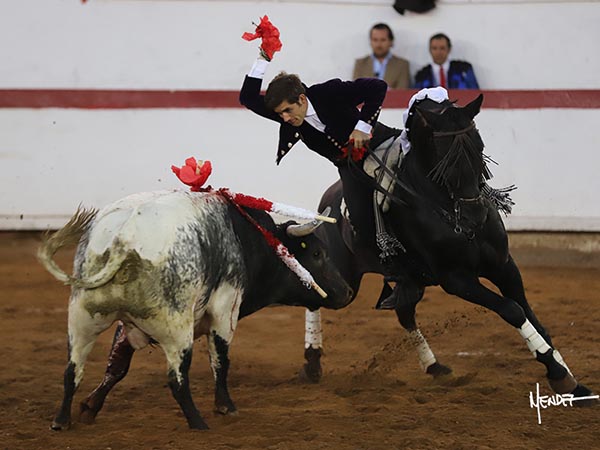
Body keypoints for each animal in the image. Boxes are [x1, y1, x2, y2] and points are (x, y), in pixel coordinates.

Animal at [37, 190, 354, 428]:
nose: (348, 292)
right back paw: (198, 423)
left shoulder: (127, 325)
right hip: (176, 328)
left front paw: (90, 407)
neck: (253, 240)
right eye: (317, 253)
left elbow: (117, 367)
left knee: (72, 370)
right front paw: (225, 406)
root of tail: (122, 240)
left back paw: (61, 420)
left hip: (82, 318)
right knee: (177, 380)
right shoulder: (226, 312)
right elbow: (221, 361)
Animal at [304, 92, 596, 400]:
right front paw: (560, 375)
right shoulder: (456, 280)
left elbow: (530, 313)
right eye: (445, 158)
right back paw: (312, 361)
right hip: (344, 277)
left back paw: (434, 366)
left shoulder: (504, 266)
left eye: (480, 147)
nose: (476, 215)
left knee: (404, 312)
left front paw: (568, 378)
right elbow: (512, 309)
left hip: (412, 282)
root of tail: (326, 202)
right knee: (317, 293)